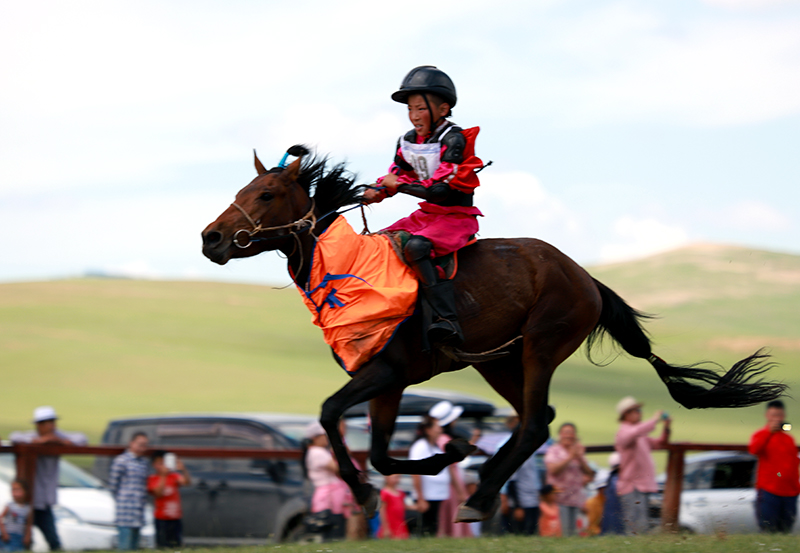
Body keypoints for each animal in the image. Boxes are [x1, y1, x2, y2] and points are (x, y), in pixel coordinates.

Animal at [203, 144, 784, 520]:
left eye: (266, 193)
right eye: (242, 189)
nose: (211, 238)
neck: (346, 267)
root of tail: (584, 276)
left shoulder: (387, 371)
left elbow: (329, 414)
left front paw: (372, 492)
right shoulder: (389, 381)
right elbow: (381, 452)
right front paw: (449, 453)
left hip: (541, 347)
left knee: (533, 425)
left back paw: (481, 497)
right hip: (498, 361)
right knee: (536, 418)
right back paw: (483, 481)